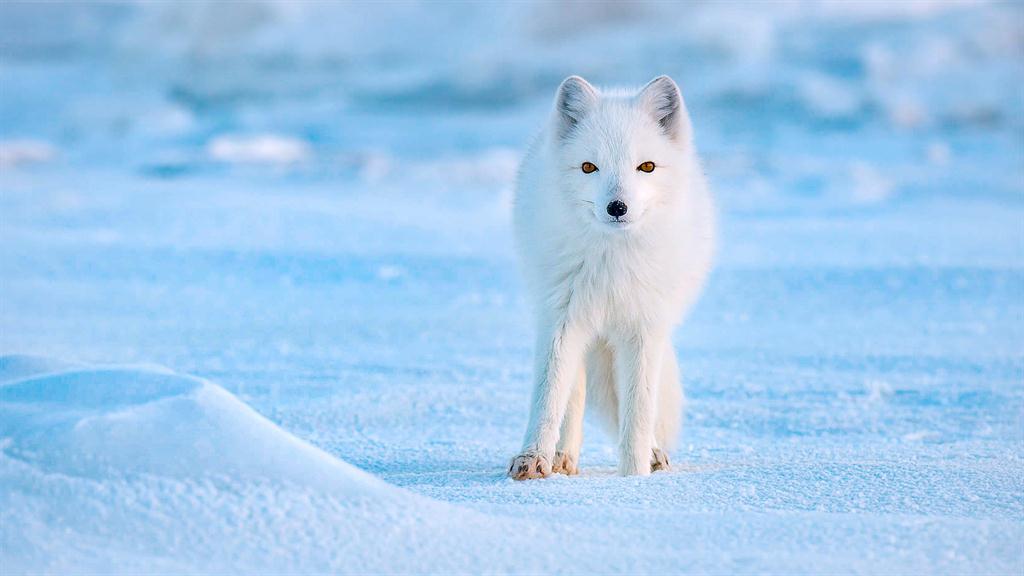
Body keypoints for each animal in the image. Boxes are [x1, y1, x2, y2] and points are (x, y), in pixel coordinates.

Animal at [507, 77, 716, 479]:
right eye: (589, 167)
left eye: (646, 166)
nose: (617, 207)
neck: (611, 263)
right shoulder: (560, 318)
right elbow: (549, 395)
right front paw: (533, 457)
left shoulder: (643, 327)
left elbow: (638, 411)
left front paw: (633, 475)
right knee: (574, 391)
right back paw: (562, 457)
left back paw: (653, 454)